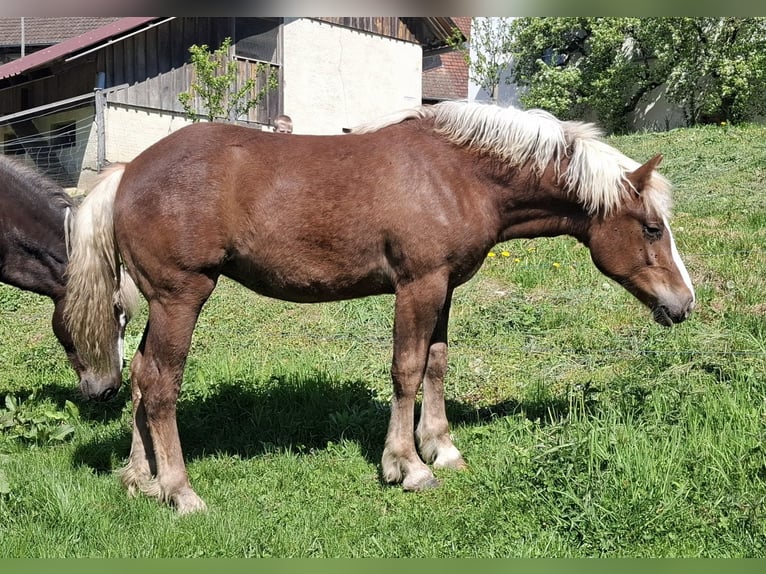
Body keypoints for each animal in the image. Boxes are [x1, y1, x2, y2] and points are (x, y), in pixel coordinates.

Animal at [64, 101, 695, 514]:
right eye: (652, 227)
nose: (684, 303)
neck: (457, 173)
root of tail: (126, 173)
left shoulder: (444, 287)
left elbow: (436, 364)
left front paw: (442, 449)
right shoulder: (418, 285)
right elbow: (407, 369)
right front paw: (407, 465)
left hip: (162, 303)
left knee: (140, 377)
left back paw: (140, 480)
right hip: (181, 297)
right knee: (161, 385)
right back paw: (179, 490)